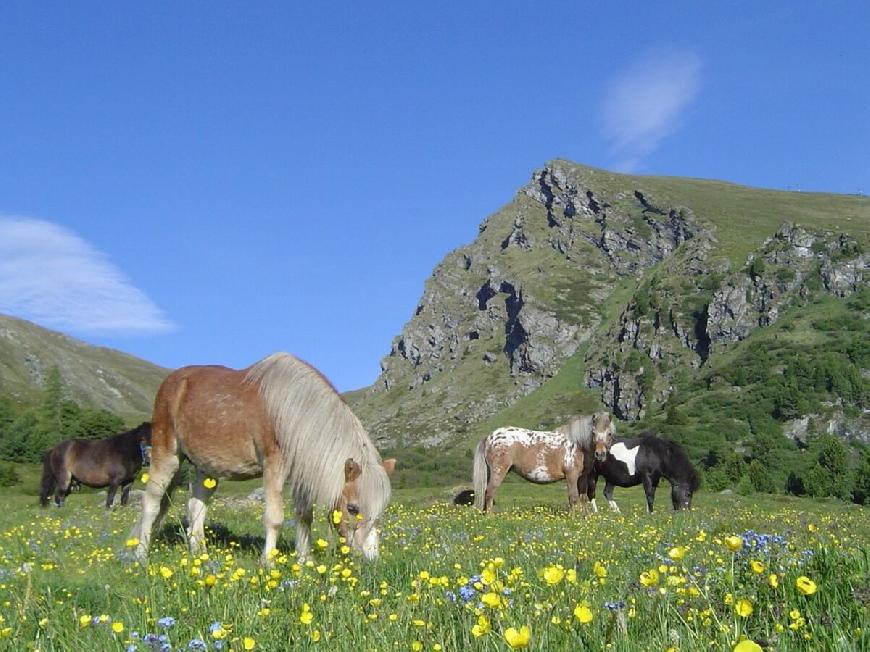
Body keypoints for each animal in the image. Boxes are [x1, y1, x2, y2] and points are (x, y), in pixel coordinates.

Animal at [127, 352, 396, 564]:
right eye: (352, 508)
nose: (371, 558)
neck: (292, 412)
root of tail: (173, 382)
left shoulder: (300, 474)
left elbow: (304, 516)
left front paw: (304, 560)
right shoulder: (273, 466)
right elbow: (274, 518)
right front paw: (268, 563)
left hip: (206, 469)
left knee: (196, 507)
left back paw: (200, 556)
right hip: (167, 455)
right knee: (151, 503)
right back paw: (140, 555)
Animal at [474, 412, 616, 516]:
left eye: (609, 433)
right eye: (593, 433)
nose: (600, 454)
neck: (578, 445)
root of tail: (490, 437)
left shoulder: (582, 477)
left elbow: (583, 498)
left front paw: (585, 517)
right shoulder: (571, 476)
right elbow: (573, 497)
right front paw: (573, 518)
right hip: (499, 471)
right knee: (490, 492)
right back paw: (490, 517)